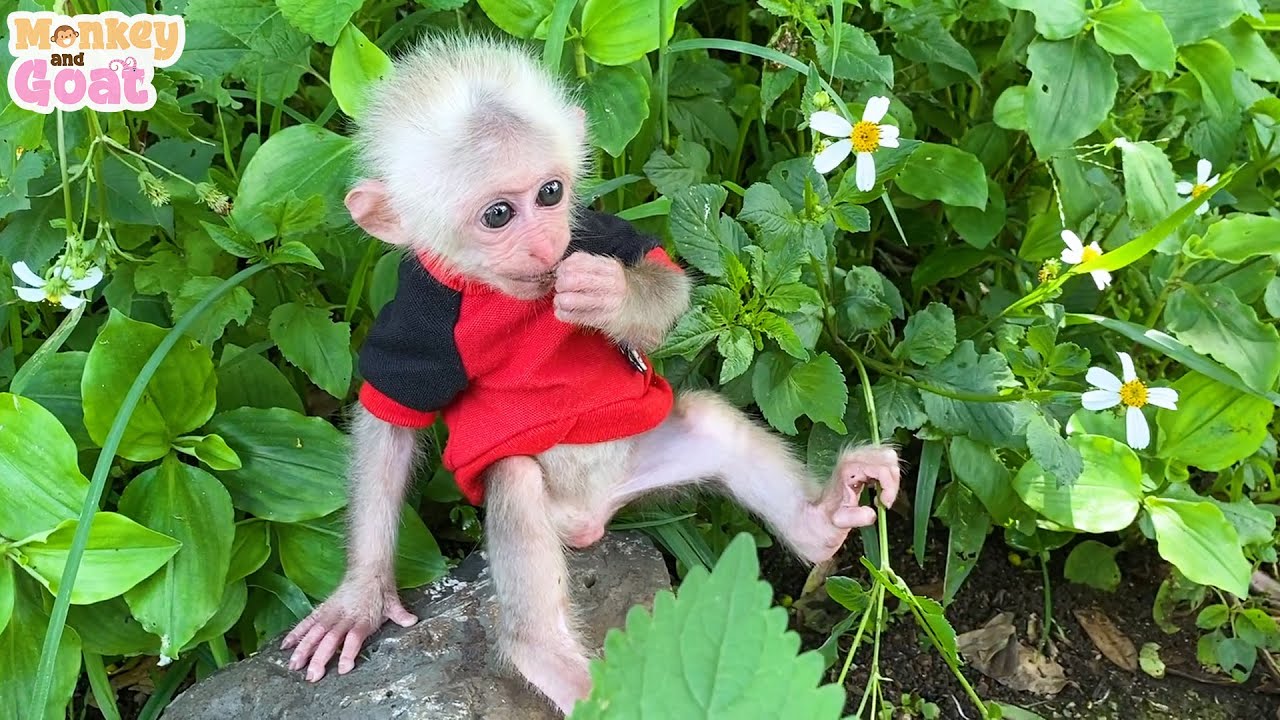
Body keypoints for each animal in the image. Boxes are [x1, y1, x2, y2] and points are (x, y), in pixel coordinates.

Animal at [280, 33, 901, 716]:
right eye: (499, 214)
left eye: (552, 193)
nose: (546, 243)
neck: (513, 294)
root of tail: (591, 518)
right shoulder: (418, 313)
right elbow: (392, 418)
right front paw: (360, 596)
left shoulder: (600, 229)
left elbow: (668, 289)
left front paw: (609, 295)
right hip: (556, 507)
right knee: (516, 480)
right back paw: (554, 663)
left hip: (643, 462)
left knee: (712, 423)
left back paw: (823, 523)